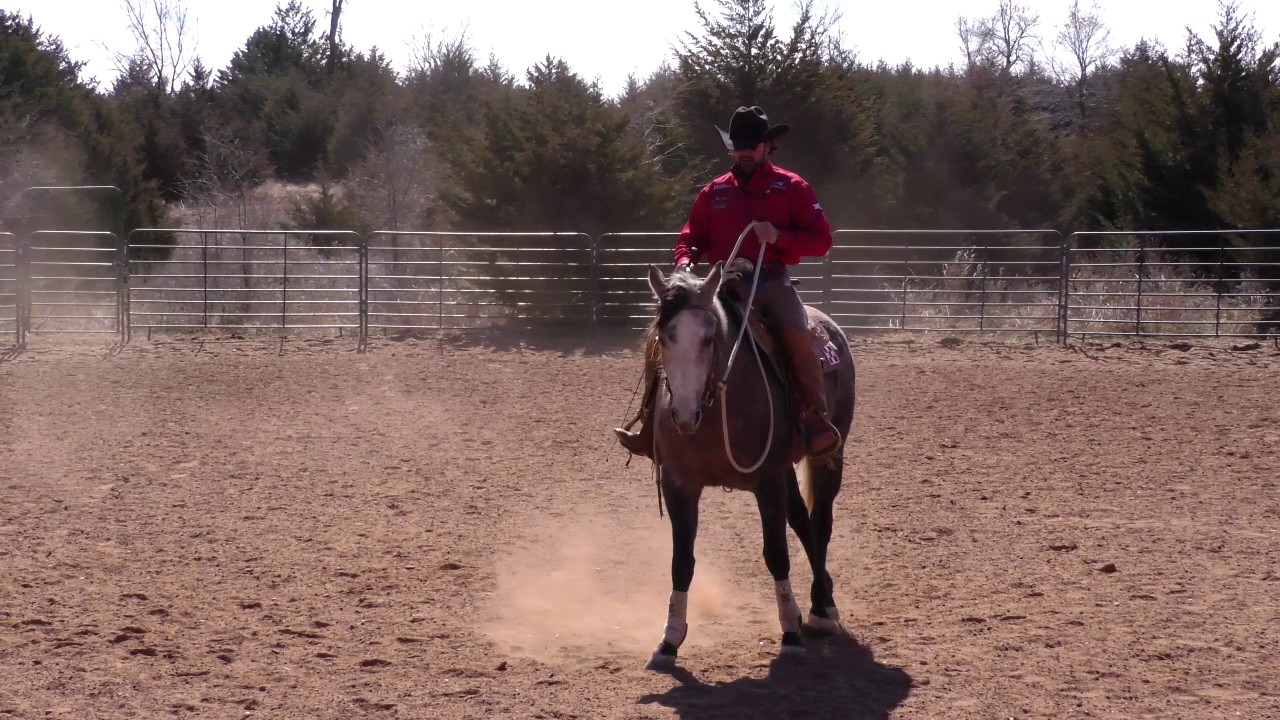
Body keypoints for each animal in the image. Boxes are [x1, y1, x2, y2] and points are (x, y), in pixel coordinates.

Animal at [639, 258, 857, 671]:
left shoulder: (767, 481)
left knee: (820, 523)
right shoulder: (679, 485)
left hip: (829, 456)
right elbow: (681, 561)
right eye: (663, 338)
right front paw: (668, 641)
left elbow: (776, 554)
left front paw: (789, 636)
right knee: (801, 520)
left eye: (709, 338)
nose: (683, 414)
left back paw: (822, 608)